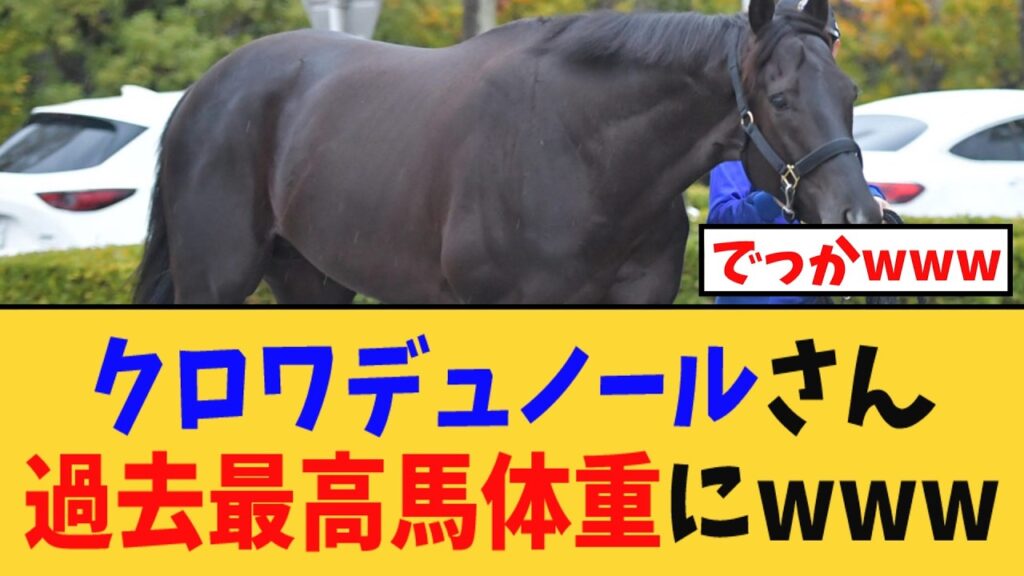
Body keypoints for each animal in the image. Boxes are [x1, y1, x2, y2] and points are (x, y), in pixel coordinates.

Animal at [134, 0, 879, 305]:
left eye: (849, 91)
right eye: (780, 98)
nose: (861, 219)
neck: (584, 159)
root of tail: (203, 90)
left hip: (311, 279)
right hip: (215, 282)